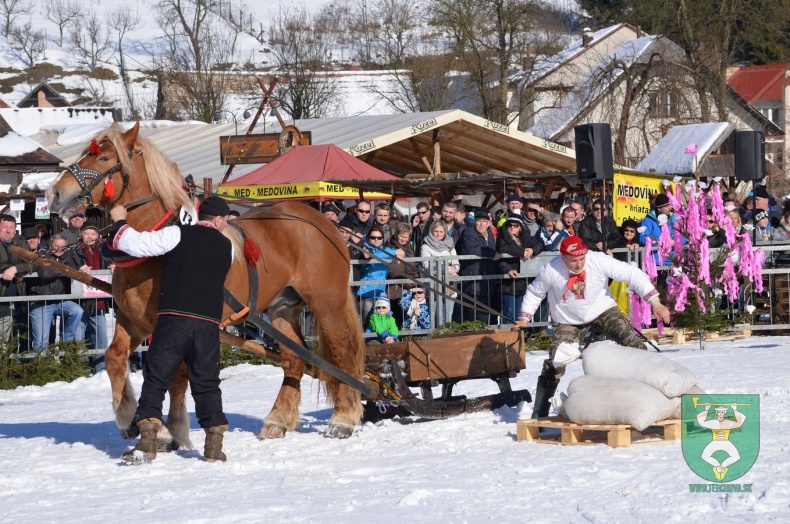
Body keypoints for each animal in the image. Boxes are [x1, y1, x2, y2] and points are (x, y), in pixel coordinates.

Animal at [44, 123, 366, 446]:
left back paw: (343, 419)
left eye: (104, 158)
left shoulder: (175, 322)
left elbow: (174, 375)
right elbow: (114, 358)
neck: (154, 242)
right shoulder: (133, 319)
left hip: (327, 302)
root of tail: (323, 223)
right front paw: (126, 417)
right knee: (295, 359)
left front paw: (167, 429)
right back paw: (277, 420)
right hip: (282, 308)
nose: (54, 192)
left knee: (344, 353)